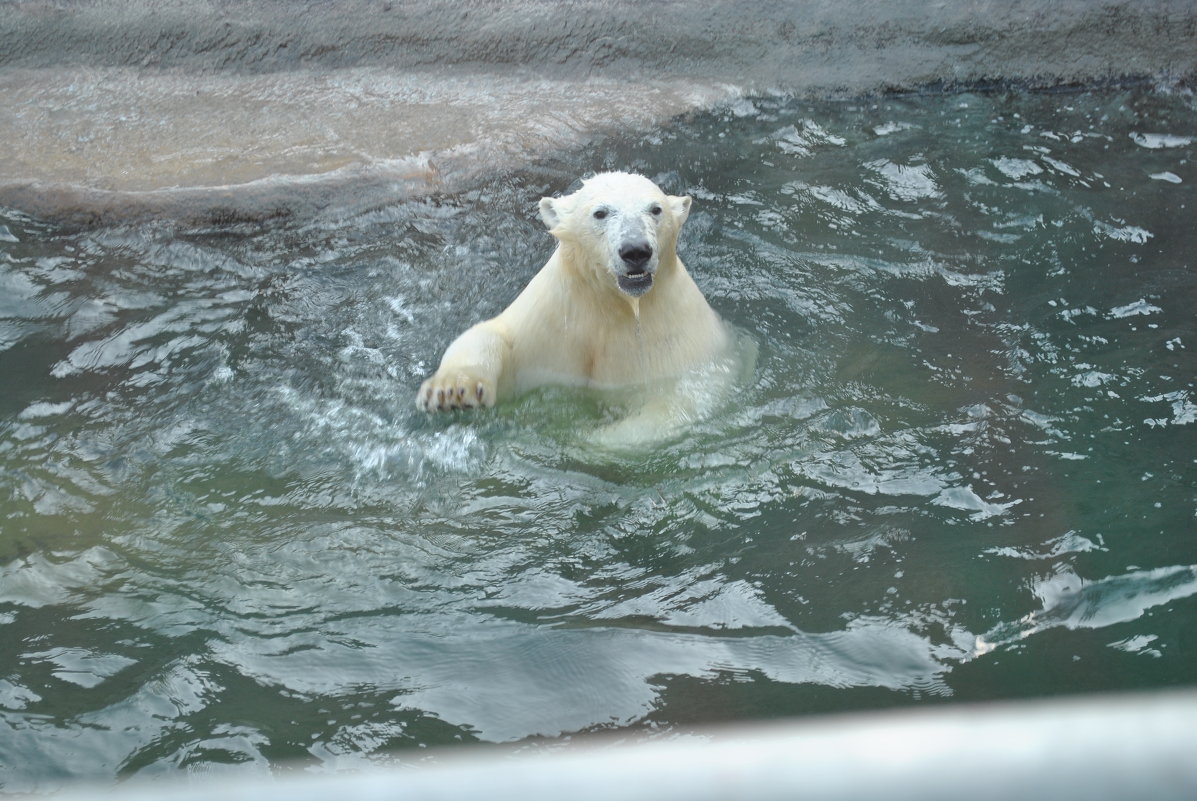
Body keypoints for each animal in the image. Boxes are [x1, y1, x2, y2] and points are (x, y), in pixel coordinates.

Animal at [416, 170, 722, 431]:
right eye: (600, 212)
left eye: (655, 209)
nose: (635, 250)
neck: (616, 302)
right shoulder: (553, 321)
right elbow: (497, 337)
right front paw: (451, 391)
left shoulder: (674, 337)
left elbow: (674, 403)